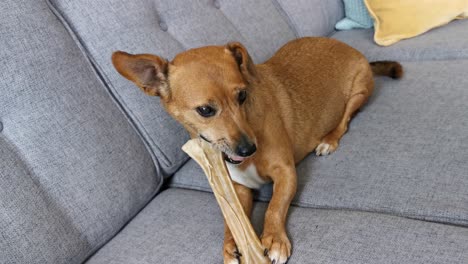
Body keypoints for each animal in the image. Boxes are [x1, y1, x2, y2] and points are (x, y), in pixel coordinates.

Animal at [110, 37, 402, 264]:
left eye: (242, 96)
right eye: (205, 110)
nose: (249, 149)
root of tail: (348, 46)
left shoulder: (286, 172)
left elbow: (274, 206)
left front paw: (274, 240)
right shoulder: (238, 189)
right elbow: (231, 218)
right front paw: (231, 245)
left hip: (359, 92)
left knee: (345, 121)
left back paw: (328, 140)